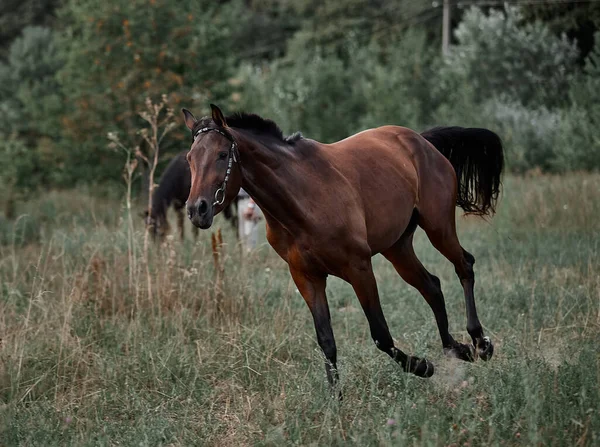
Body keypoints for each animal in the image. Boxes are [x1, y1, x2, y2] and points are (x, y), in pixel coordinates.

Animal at [182, 104, 502, 388]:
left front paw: (423, 366)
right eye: (189, 158)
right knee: (432, 286)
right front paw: (335, 402)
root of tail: (423, 142)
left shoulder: (359, 267)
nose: (197, 209)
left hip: (438, 228)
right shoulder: (306, 277)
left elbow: (380, 334)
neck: (302, 197)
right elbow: (326, 340)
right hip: (398, 247)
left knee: (464, 265)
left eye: (223, 154)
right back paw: (457, 349)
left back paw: (480, 343)